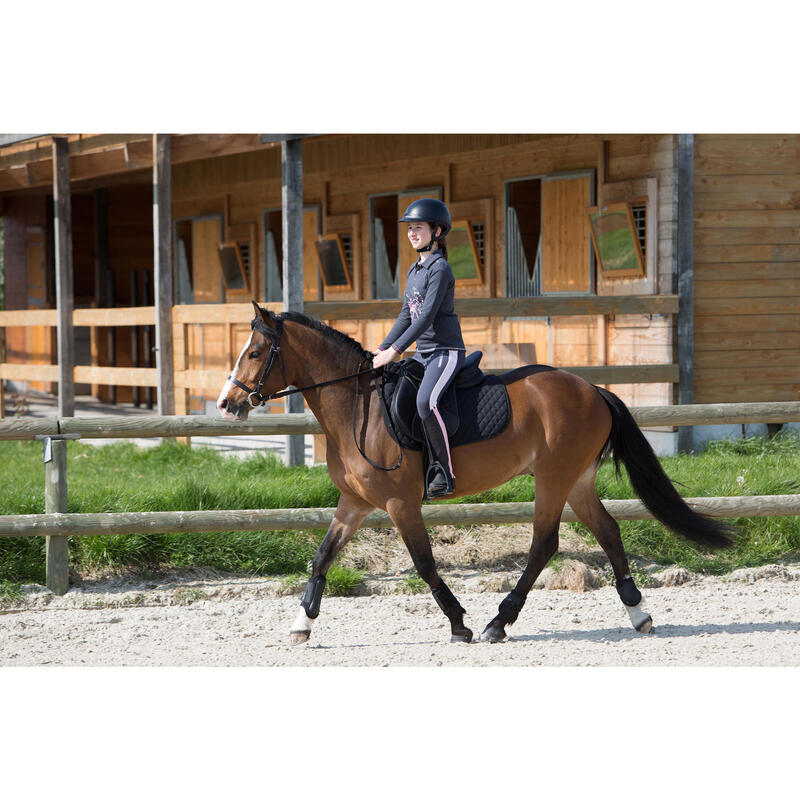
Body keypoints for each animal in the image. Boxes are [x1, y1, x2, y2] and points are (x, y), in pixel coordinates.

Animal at [216, 304, 736, 648]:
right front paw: (302, 624)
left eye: (256, 352)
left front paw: (459, 624)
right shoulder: (355, 503)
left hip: (553, 478)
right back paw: (638, 613)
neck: (357, 407)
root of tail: (592, 389)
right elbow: (323, 556)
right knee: (607, 530)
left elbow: (425, 564)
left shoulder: (400, 504)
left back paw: (497, 624)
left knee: (544, 545)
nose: (227, 403)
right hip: (577, 481)